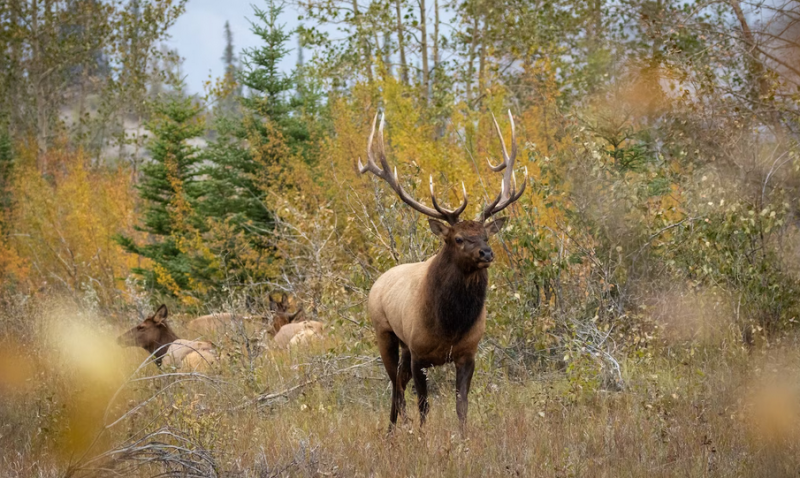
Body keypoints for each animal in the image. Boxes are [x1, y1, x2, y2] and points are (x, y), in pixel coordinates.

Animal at [360, 110, 524, 432]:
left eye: (486, 236)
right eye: (458, 238)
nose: (486, 254)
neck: (449, 325)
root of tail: (379, 280)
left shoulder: (468, 354)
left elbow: (462, 405)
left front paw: (463, 438)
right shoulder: (419, 354)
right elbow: (424, 405)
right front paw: (423, 436)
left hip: (403, 347)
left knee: (398, 385)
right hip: (384, 333)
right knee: (395, 388)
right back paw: (394, 429)